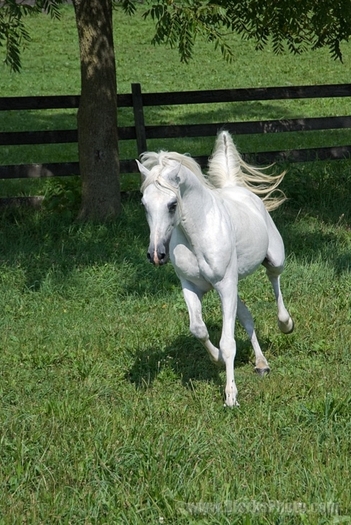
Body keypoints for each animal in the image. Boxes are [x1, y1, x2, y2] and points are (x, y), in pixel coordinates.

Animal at [138, 130, 294, 406]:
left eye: (172, 204)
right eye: (144, 204)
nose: (156, 255)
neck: (198, 233)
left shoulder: (225, 286)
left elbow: (228, 342)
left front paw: (231, 396)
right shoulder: (192, 287)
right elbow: (198, 329)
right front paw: (218, 359)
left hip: (273, 260)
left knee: (274, 280)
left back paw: (285, 324)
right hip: (233, 288)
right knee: (247, 316)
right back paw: (261, 364)